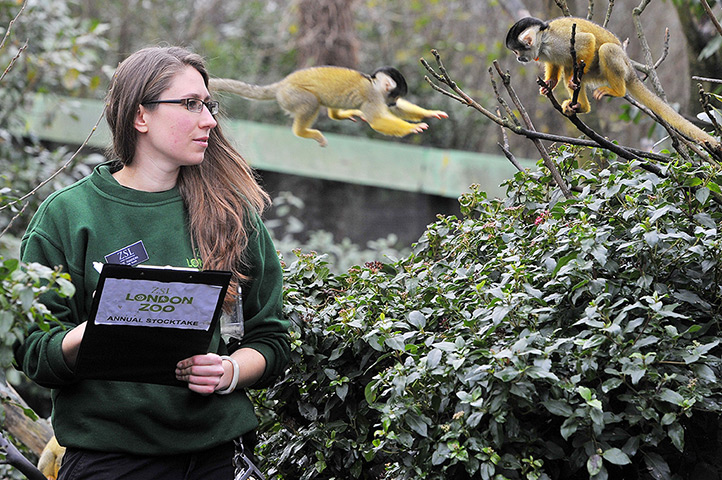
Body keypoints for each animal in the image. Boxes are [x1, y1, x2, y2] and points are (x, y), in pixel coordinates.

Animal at [209, 66, 448, 147]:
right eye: (395, 95)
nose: (393, 101)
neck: (374, 85)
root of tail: (280, 85)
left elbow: (392, 113)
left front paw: (430, 113)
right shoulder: (373, 96)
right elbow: (378, 120)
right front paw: (412, 128)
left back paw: (337, 115)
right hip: (292, 95)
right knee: (311, 102)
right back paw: (303, 132)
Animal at [505, 16, 721, 152]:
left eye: (516, 51)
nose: (517, 58)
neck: (543, 42)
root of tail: (631, 69)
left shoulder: (559, 41)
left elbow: (587, 41)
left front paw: (573, 80)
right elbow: (555, 64)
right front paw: (549, 84)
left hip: (613, 66)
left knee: (604, 50)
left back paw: (612, 90)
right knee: (568, 65)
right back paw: (579, 106)